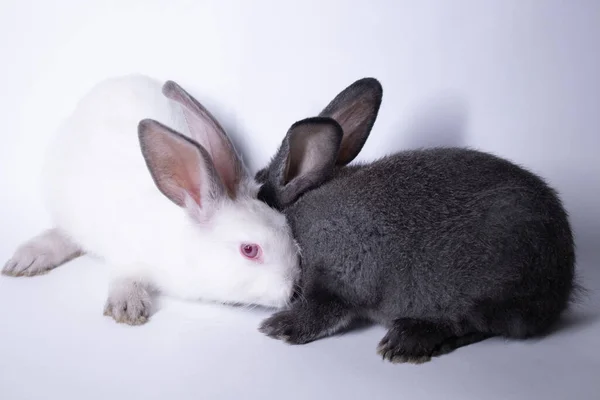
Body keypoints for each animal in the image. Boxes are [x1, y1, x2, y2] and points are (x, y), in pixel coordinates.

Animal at [0, 75, 300, 324]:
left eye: (285, 227)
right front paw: (127, 307)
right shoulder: (126, 252)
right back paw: (27, 259)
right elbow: (124, 276)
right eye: (249, 250)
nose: (292, 291)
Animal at [255, 77, 580, 362]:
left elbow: (323, 309)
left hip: (493, 286)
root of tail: (562, 285)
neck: (295, 215)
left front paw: (279, 327)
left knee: (475, 324)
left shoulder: (339, 277)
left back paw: (406, 341)